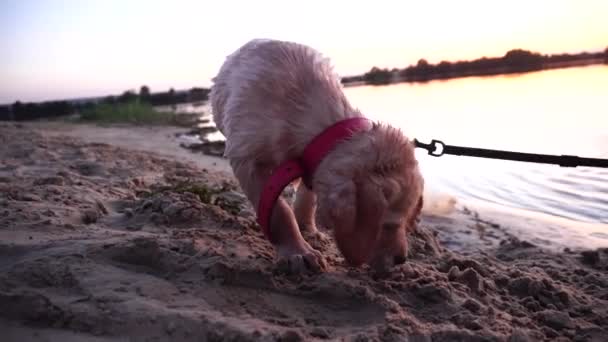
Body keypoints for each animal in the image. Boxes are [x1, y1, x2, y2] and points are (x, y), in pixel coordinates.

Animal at [209, 38, 422, 274]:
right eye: (388, 225)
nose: (401, 259)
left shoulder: (311, 160)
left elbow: (307, 197)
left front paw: (307, 229)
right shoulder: (248, 157)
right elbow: (279, 212)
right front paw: (298, 252)